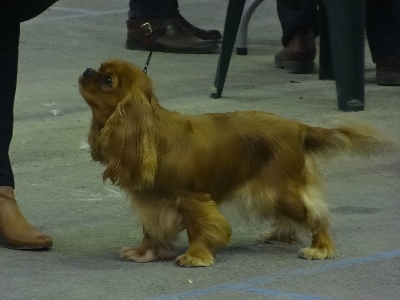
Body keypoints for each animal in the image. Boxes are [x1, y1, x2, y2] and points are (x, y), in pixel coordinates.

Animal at [78, 59, 390, 266]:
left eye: (107, 81)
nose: (87, 70)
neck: (151, 133)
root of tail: (298, 127)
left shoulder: (192, 198)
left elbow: (200, 228)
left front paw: (195, 256)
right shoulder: (152, 202)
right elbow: (151, 230)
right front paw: (145, 252)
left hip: (281, 190)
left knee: (316, 215)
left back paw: (321, 248)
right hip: (274, 194)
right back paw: (281, 235)